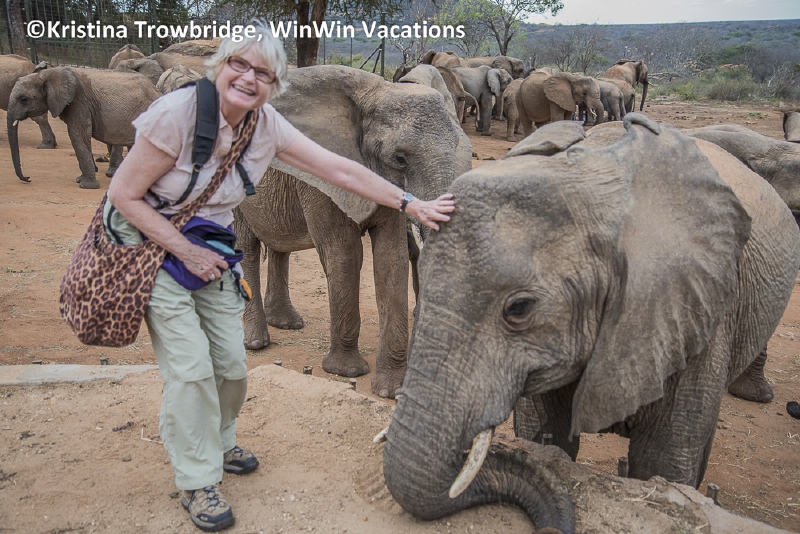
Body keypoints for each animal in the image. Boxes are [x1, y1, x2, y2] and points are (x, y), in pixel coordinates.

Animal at [7, 66, 160, 188]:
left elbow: (77, 135)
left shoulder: (79, 102)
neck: (48, 73)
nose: (28, 178)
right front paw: (79, 180)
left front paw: (85, 185)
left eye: (24, 99)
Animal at [233, 65, 470, 399]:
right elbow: (344, 254)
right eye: (400, 158)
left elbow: (391, 258)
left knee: (279, 245)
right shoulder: (323, 175)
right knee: (246, 245)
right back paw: (255, 342)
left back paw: (287, 323)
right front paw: (345, 372)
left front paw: (391, 390)